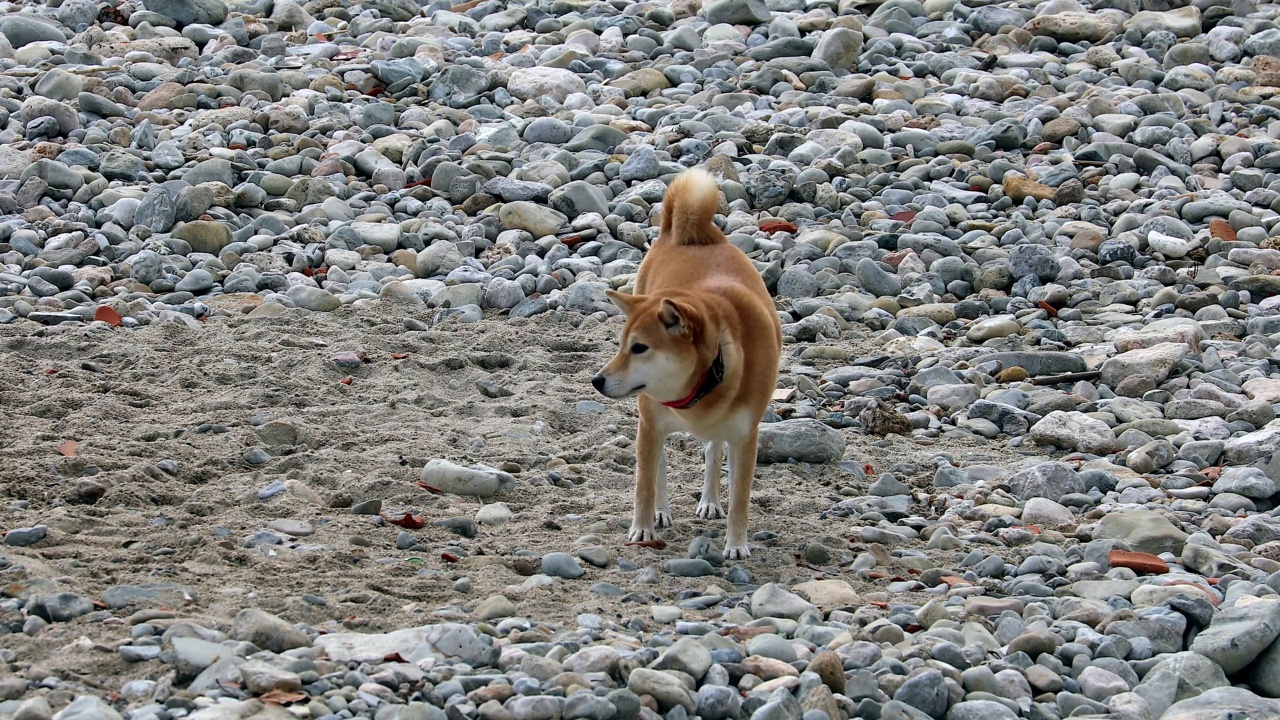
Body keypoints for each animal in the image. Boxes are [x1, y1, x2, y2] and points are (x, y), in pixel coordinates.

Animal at [588, 169, 778, 561]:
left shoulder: (745, 437)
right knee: (659, 465)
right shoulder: (651, 425)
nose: (597, 380)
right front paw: (641, 529)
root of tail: (684, 234)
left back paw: (710, 500)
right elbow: (644, 483)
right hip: (651, 420)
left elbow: (740, 498)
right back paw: (661, 512)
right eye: (621, 346)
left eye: (639, 348)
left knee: (712, 450)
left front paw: (736, 544)